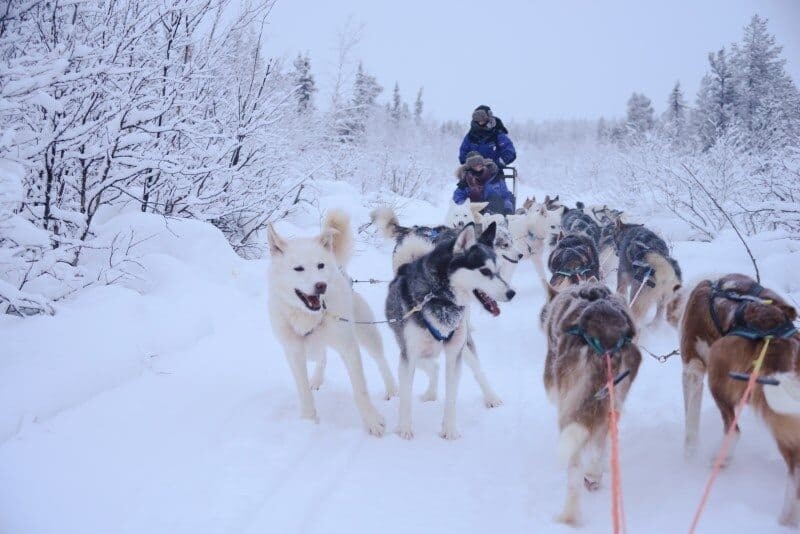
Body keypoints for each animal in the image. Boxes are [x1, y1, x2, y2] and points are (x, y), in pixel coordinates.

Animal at [268, 208, 396, 436]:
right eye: (298, 268)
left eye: (320, 265)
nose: (321, 285)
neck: (309, 316)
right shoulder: (294, 353)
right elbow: (303, 391)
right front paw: (308, 421)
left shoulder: (349, 347)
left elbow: (360, 390)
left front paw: (372, 420)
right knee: (322, 357)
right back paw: (317, 379)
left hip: (367, 335)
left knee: (381, 361)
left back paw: (391, 389)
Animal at [540, 284, 640, 528]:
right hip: (612, 398)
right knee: (598, 445)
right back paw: (594, 475)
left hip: (569, 410)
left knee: (575, 470)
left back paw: (569, 516)